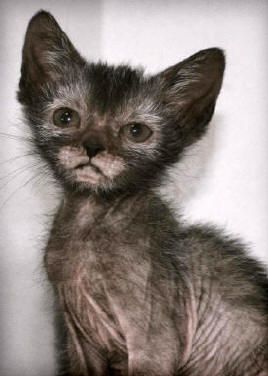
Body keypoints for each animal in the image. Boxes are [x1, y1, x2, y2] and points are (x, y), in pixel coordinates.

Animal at [17, 10, 266, 374]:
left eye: (136, 132)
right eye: (65, 117)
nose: (92, 147)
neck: (91, 223)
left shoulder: (152, 341)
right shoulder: (77, 337)